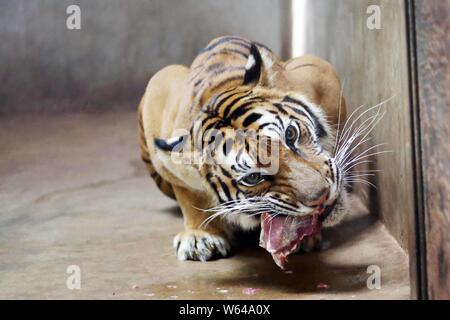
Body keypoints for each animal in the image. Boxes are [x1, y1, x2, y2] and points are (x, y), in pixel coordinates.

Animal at [139, 35, 350, 262]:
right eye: (253, 177)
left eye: (290, 134)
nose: (322, 197)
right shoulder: (170, 159)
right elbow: (190, 196)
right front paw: (201, 238)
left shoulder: (321, 71)